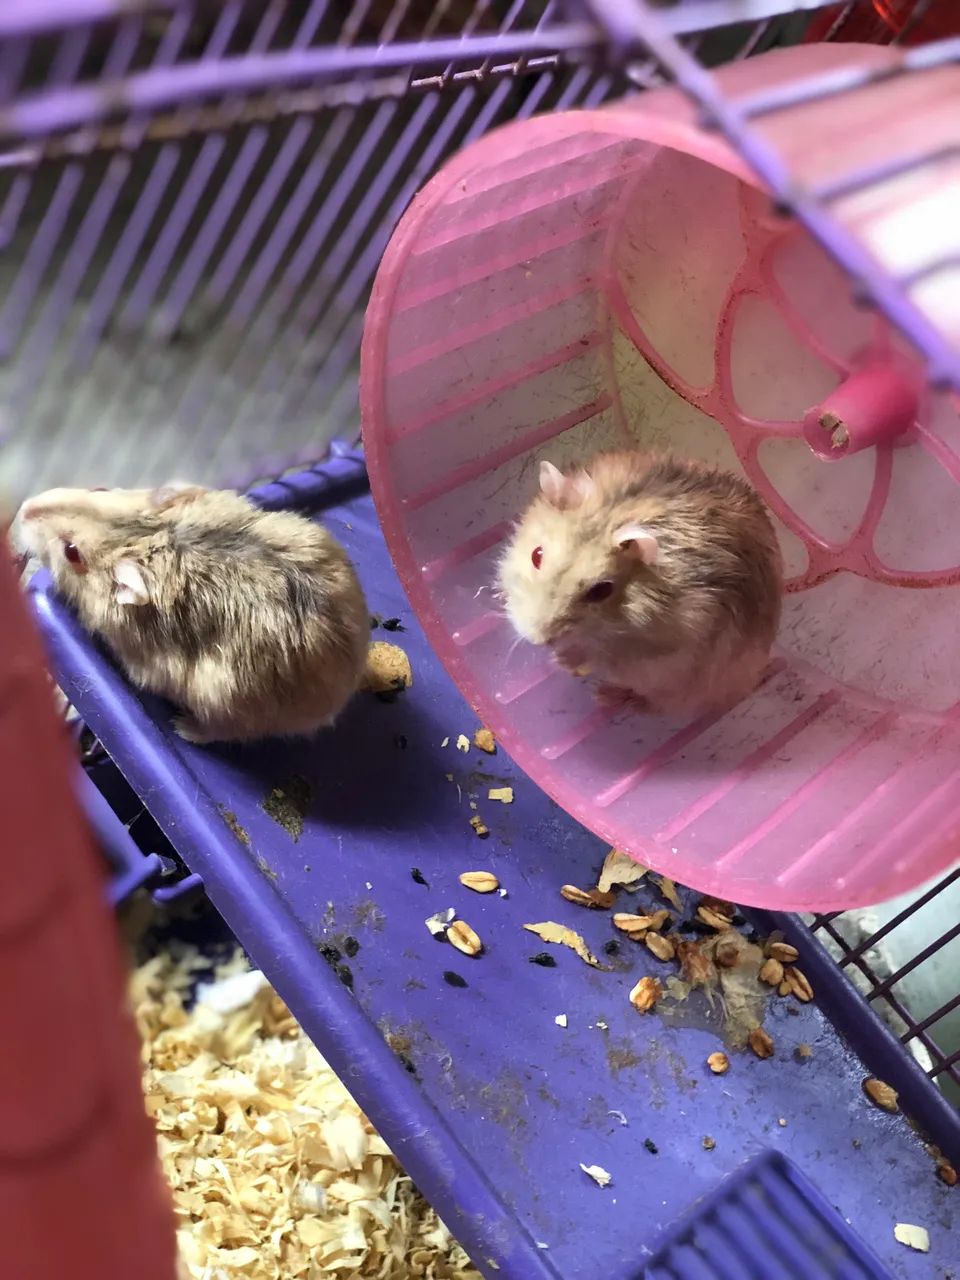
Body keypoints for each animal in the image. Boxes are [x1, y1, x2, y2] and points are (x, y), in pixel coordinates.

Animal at [10, 483, 370, 743]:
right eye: (99, 489)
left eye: (72, 552)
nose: (25, 507)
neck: (144, 534)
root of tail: (346, 685)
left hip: (224, 701)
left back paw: (183, 727)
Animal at [497, 452, 783, 716]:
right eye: (536, 555)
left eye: (601, 591)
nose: (538, 641)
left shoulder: (661, 651)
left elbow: (604, 655)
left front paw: (563, 660)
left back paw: (607, 696)